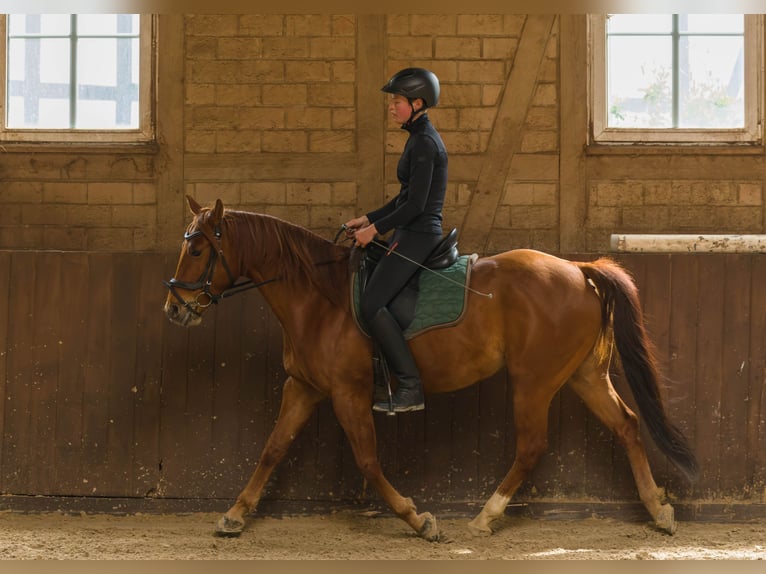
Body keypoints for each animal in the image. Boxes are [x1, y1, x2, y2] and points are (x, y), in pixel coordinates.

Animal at [164, 196, 704, 544]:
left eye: (197, 249)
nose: (174, 309)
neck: (320, 299)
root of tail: (579, 269)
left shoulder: (347, 393)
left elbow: (367, 460)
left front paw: (418, 519)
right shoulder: (304, 387)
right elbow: (272, 449)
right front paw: (234, 515)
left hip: (533, 381)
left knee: (532, 446)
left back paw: (486, 516)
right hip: (583, 375)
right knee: (627, 425)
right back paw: (658, 510)